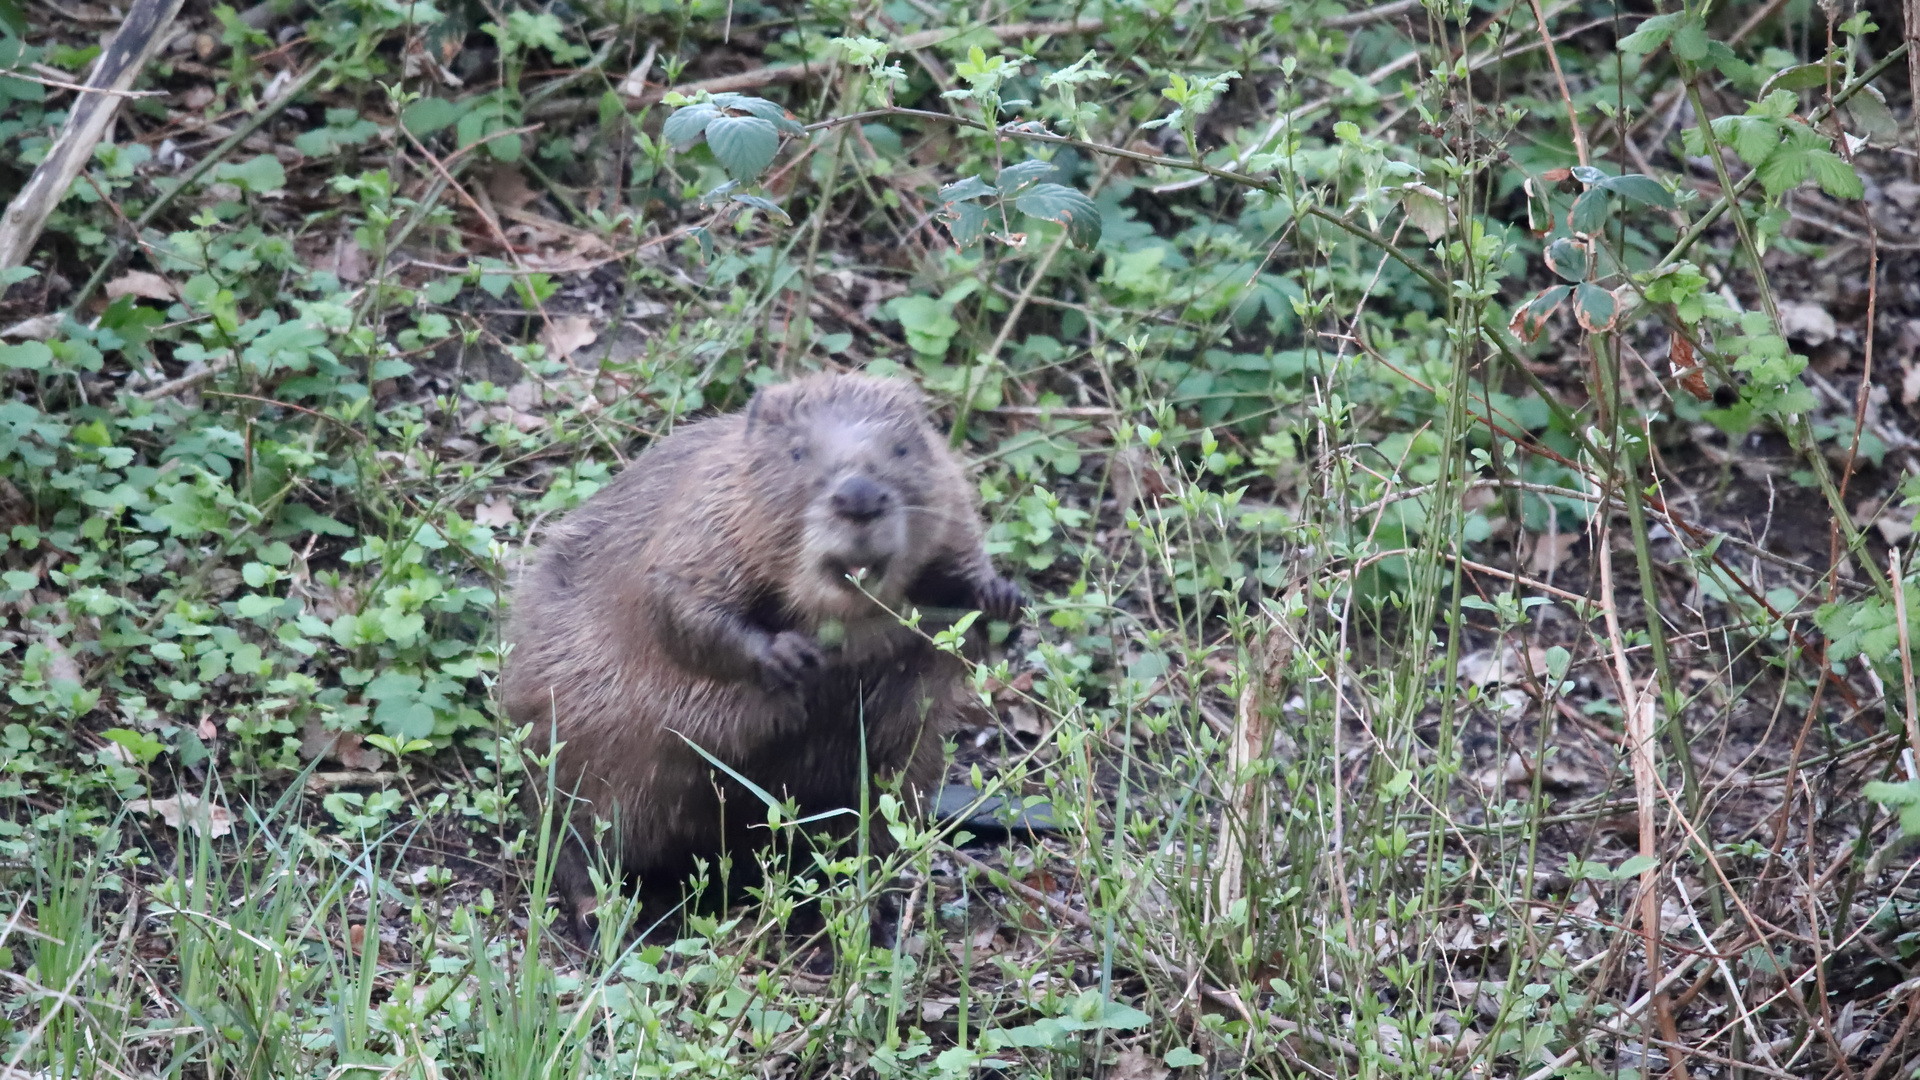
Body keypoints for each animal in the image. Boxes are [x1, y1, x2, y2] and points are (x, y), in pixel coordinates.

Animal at [503, 372, 1029, 933]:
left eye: (903, 447)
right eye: (797, 452)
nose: (859, 497)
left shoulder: (949, 498)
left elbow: (960, 567)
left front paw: (1001, 598)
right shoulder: (704, 518)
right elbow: (676, 603)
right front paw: (789, 656)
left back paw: (860, 908)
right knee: (572, 832)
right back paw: (602, 911)